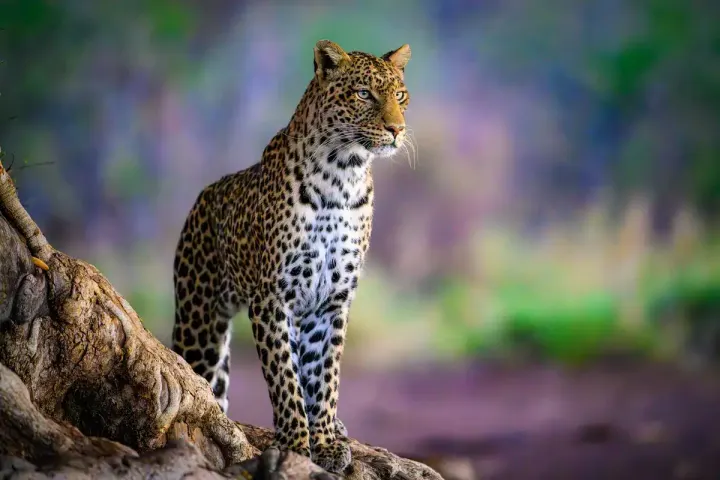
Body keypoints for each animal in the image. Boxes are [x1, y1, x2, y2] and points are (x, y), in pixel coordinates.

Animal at [171, 39, 412, 474]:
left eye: (400, 96)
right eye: (364, 94)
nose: (396, 129)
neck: (343, 174)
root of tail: (202, 198)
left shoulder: (332, 301)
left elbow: (324, 375)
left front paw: (326, 440)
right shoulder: (272, 297)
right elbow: (283, 376)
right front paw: (297, 444)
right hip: (200, 323)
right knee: (200, 376)